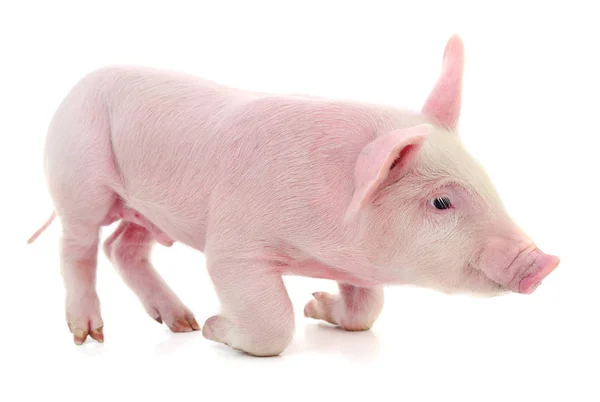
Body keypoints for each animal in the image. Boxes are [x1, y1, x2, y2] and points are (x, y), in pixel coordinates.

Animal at [30, 33, 560, 354]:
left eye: (487, 180)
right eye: (441, 201)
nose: (543, 262)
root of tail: (73, 90)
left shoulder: (355, 263)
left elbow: (368, 309)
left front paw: (314, 306)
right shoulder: (234, 246)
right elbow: (273, 322)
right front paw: (215, 327)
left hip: (147, 211)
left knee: (124, 248)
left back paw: (179, 323)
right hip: (79, 179)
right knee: (78, 247)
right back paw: (91, 336)